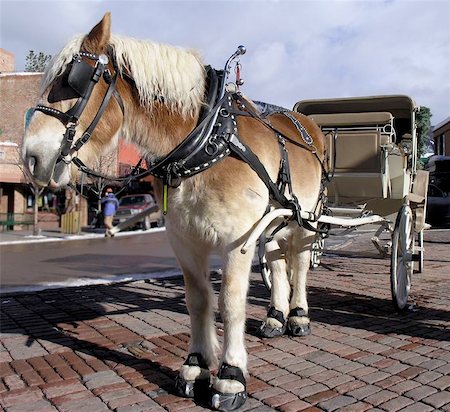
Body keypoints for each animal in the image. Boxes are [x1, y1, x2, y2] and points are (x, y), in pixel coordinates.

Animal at [22, 13, 324, 412]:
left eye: (73, 80)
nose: (30, 156)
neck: (205, 141)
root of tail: (307, 126)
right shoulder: (184, 239)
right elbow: (198, 300)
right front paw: (195, 367)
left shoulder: (238, 241)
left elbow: (230, 303)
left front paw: (230, 376)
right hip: (274, 222)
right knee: (276, 261)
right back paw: (275, 318)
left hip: (307, 219)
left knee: (300, 265)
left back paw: (298, 317)